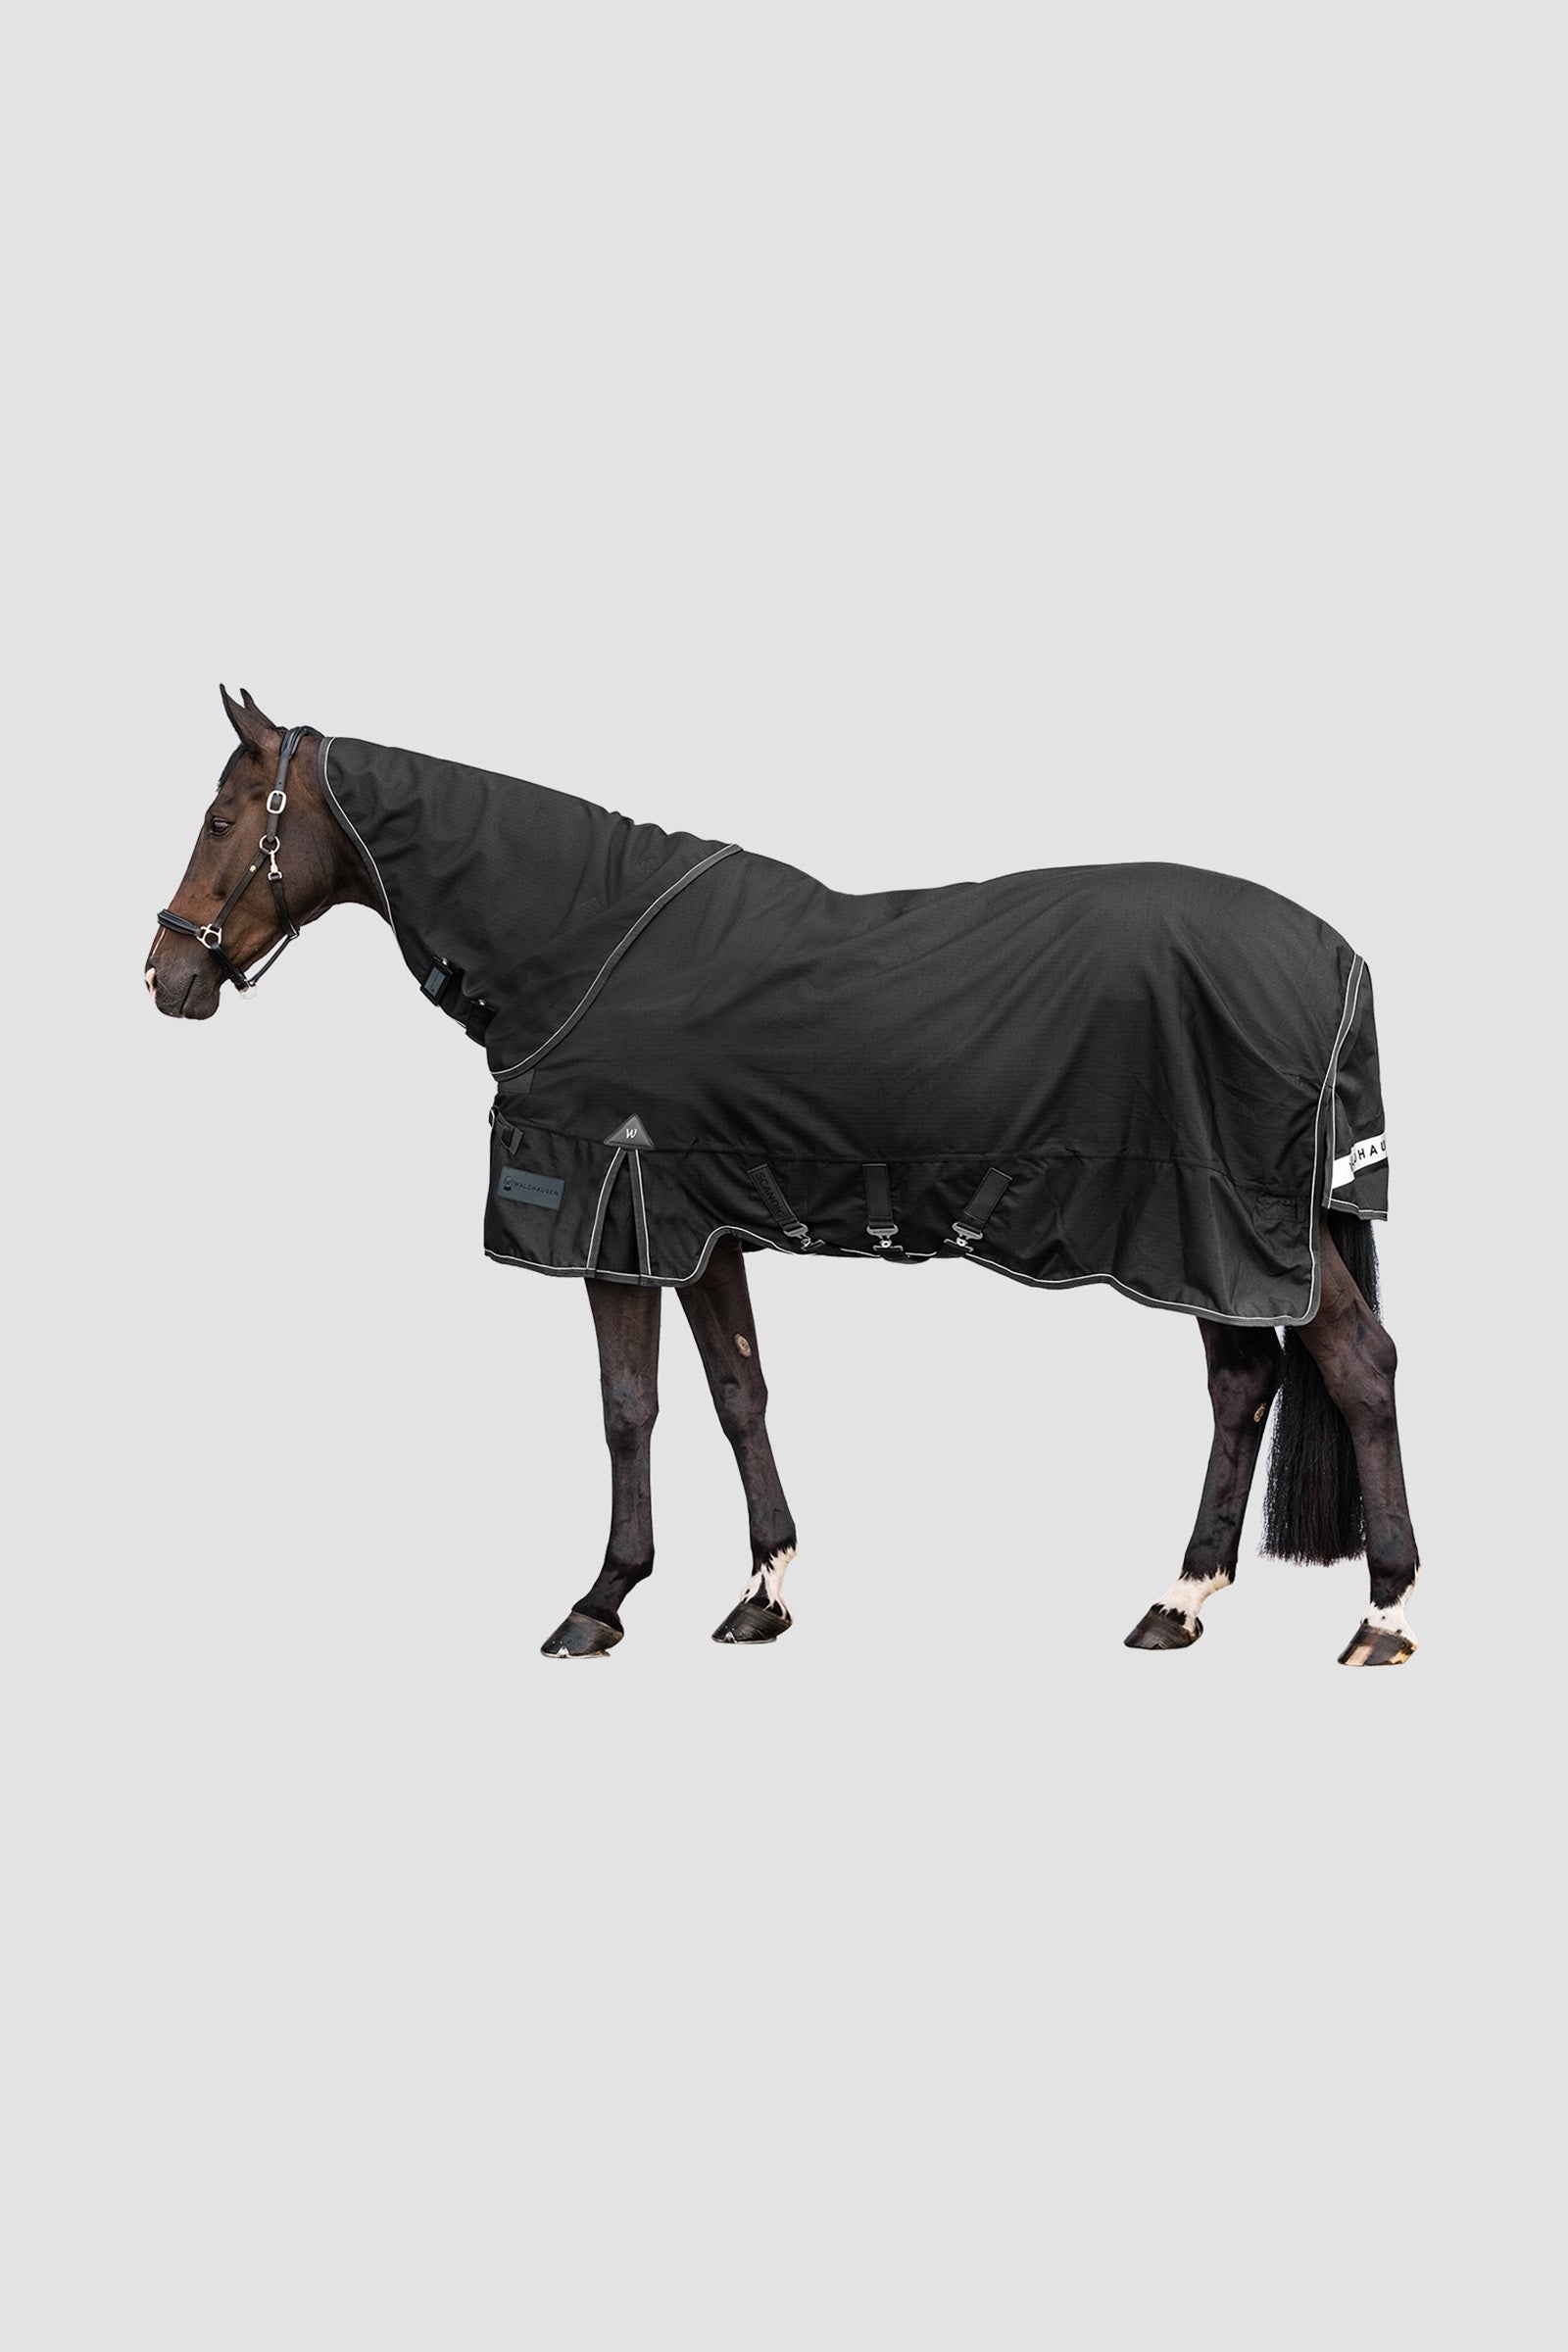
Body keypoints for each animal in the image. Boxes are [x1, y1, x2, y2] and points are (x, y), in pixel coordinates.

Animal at [147, 688, 1420, 1667]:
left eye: (219, 818)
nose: (164, 975)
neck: (582, 940)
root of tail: (1337, 957)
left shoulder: (616, 1221)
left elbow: (627, 1407)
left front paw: (600, 1602)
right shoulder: (698, 1226)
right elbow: (737, 1393)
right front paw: (762, 1594)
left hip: (1234, 1222)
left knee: (1355, 1369)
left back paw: (1383, 1616)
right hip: (1209, 1238)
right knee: (1243, 1385)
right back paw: (1179, 1602)